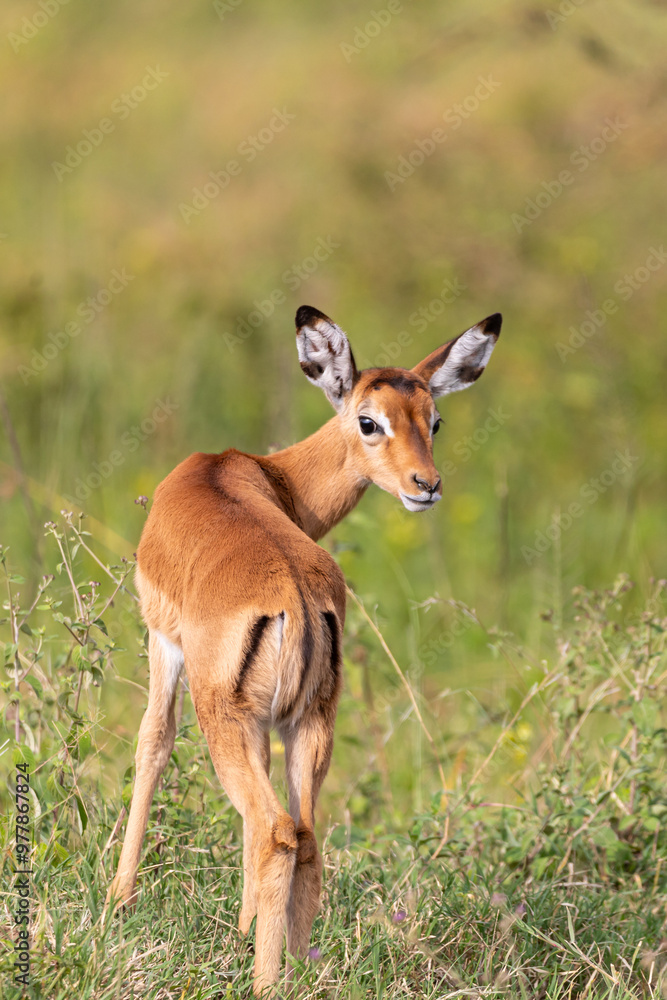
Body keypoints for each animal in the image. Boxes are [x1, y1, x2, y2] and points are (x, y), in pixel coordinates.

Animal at [107, 305, 502, 993]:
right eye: (372, 420)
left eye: (434, 420)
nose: (427, 484)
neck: (261, 474)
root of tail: (292, 589)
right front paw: (241, 926)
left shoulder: (163, 640)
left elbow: (152, 743)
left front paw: (118, 899)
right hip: (312, 721)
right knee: (307, 836)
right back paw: (292, 966)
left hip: (228, 718)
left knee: (275, 833)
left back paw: (263, 981)